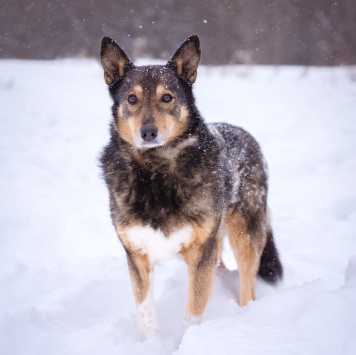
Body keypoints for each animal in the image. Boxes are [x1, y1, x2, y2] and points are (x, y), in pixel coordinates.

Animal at [98, 34, 282, 338]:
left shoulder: (201, 255)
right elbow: (146, 314)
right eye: (132, 99)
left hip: (244, 234)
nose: (148, 133)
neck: (156, 172)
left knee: (248, 286)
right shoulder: (137, 255)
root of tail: (246, 135)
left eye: (167, 97)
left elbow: (192, 315)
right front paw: (152, 343)